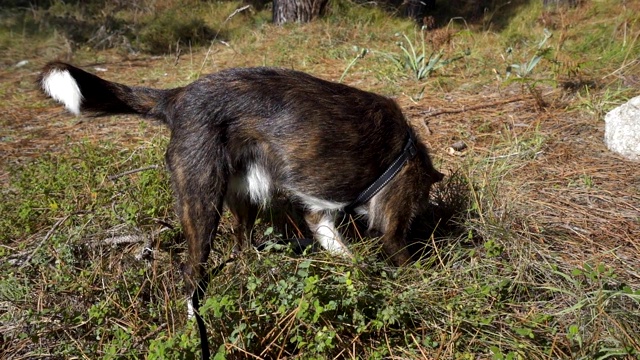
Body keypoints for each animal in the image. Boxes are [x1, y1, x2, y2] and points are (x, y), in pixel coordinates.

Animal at [37, 62, 442, 316]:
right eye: (419, 207)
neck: (405, 151)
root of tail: (176, 96)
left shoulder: (318, 210)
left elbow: (335, 242)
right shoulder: (390, 207)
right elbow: (387, 247)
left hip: (242, 195)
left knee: (241, 244)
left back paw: (254, 272)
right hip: (203, 202)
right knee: (192, 272)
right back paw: (197, 317)